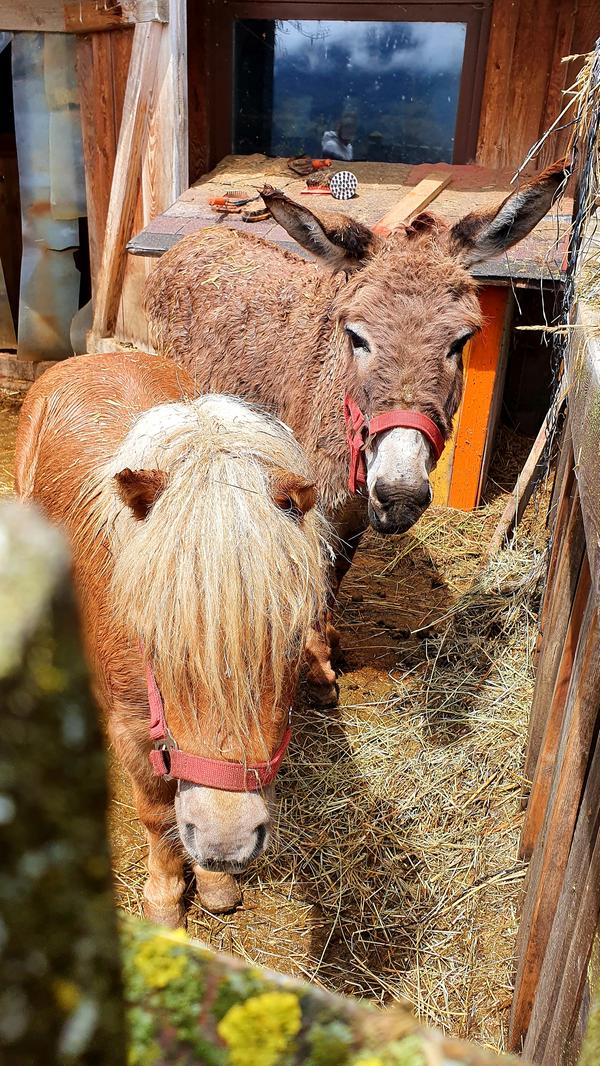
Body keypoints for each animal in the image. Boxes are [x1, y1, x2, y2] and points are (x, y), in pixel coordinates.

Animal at [15, 351, 328, 923]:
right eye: (153, 639)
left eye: (293, 639)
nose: (226, 841)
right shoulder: (133, 731)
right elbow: (158, 814)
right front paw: (164, 899)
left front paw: (214, 883)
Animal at [143, 161, 566, 700]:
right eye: (357, 336)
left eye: (461, 341)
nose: (402, 493)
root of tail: (198, 238)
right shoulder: (310, 503)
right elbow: (312, 575)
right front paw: (316, 666)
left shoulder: (352, 516)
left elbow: (336, 574)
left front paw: (330, 645)